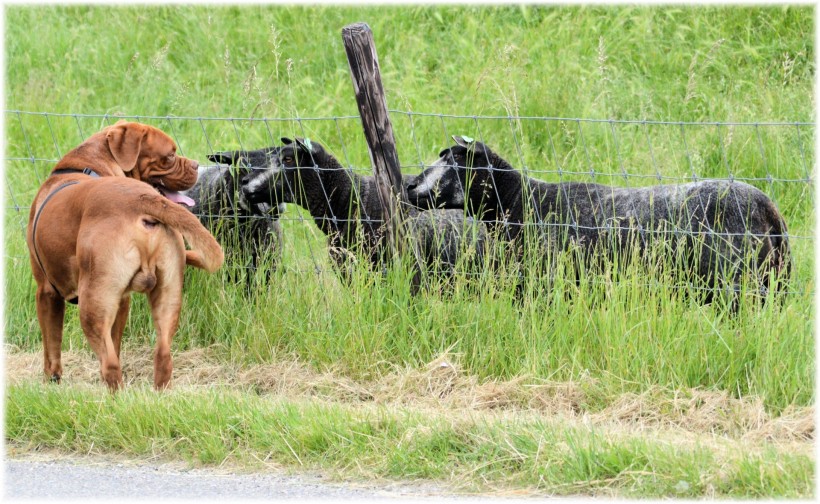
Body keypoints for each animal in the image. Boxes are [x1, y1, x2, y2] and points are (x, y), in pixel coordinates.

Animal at [25, 121, 224, 390]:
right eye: (170, 156)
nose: (195, 164)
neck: (90, 164)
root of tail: (141, 199)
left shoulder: (47, 292)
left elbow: (51, 347)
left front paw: (50, 381)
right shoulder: (122, 300)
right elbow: (116, 341)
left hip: (92, 305)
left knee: (109, 364)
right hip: (168, 297)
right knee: (162, 355)